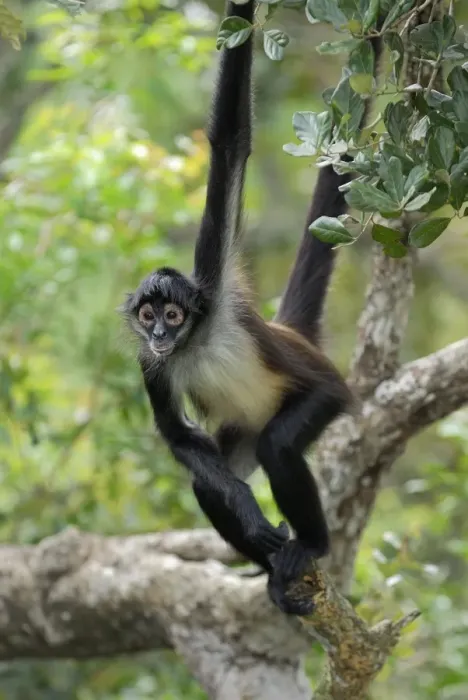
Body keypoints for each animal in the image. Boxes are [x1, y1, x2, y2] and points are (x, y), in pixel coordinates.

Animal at [123, 0, 382, 615]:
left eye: (172, 314)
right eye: (147, 318)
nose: (160, 336)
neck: (195, 339)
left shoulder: (211, 285)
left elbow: (230, 141)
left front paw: (242, 13)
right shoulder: (149, 363)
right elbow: (179, 438)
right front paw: (245, 506)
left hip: (323, 394)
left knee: (281, 445)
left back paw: (311, 545)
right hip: (241, 429)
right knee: (211, 477)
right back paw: (271, 571)